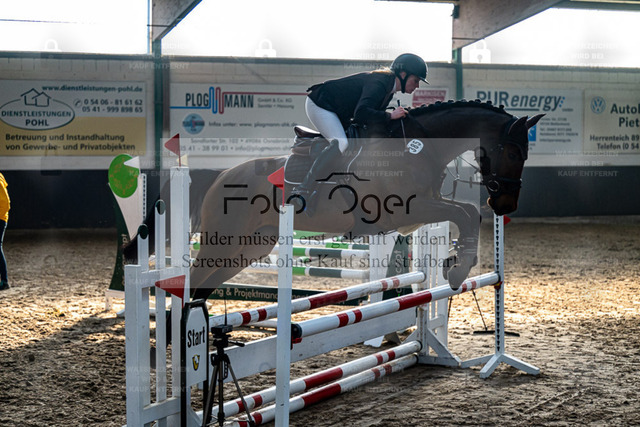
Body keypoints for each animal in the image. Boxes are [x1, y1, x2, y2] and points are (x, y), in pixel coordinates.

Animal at [189, 100, 543, 300]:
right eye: (513, 152)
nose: (506, 206)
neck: (418, 147)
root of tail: (220, 176)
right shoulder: (407, 211)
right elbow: (466, 213)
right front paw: (456, 271)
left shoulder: (423, 208)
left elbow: (468, 212)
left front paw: (454, 265)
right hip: (221, 242)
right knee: (191, 281)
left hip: (250, 247)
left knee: (202, 288)